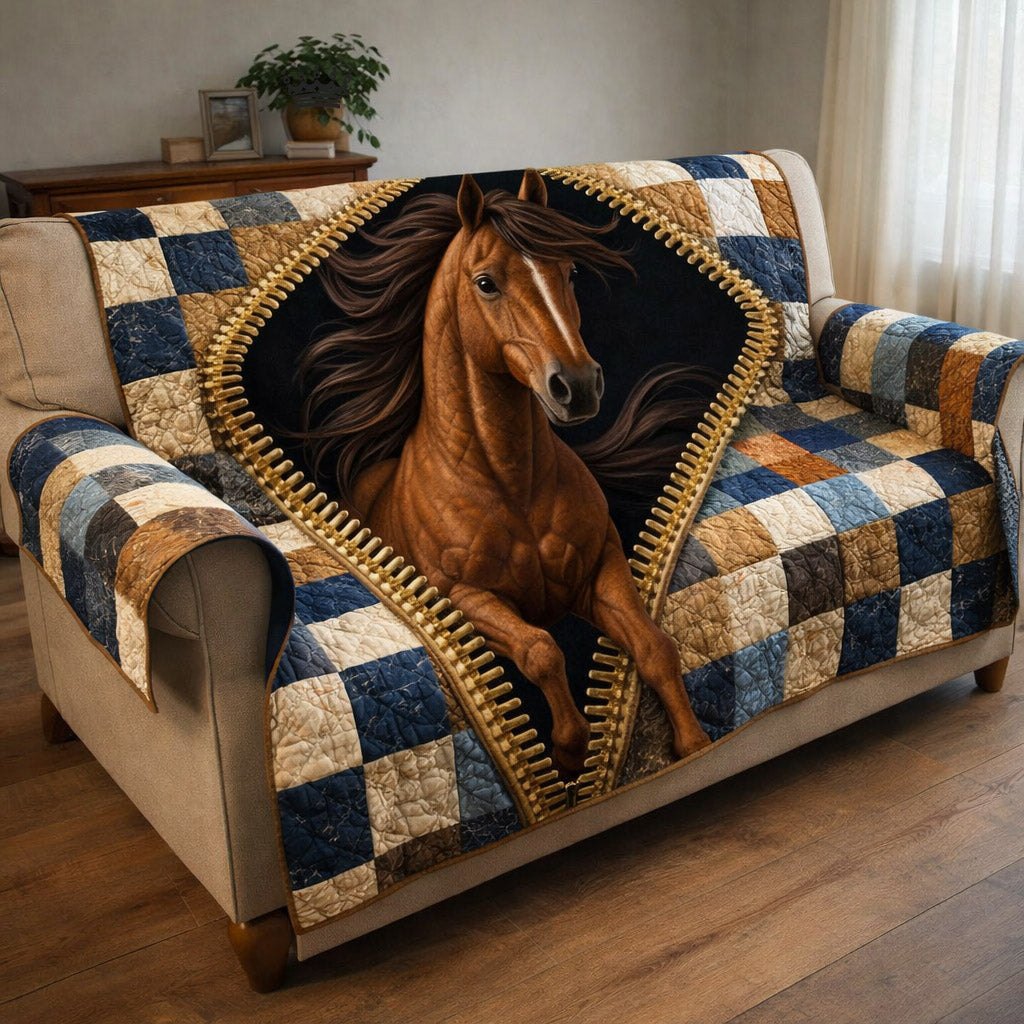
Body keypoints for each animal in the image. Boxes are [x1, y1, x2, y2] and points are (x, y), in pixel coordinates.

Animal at [301, 170, 711, 775]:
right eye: (486, 283)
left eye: (569, 271)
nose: (578, 386)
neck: (510, 484)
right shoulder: (462, 598)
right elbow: (541, 650)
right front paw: (568, 751)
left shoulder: (600, 567)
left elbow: (655, 647)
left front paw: (692, 746)